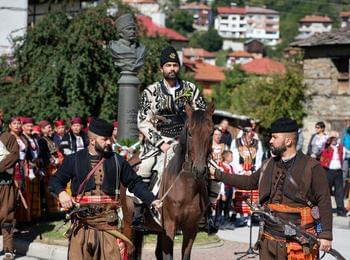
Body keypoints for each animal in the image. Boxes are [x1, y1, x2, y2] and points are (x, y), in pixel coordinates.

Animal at [120, 102, 215, 258]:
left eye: (211, 133)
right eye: (190, 133)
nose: (200, 170)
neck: (186, 185)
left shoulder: (191, 229)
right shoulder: (169, 226)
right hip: (128, 223)